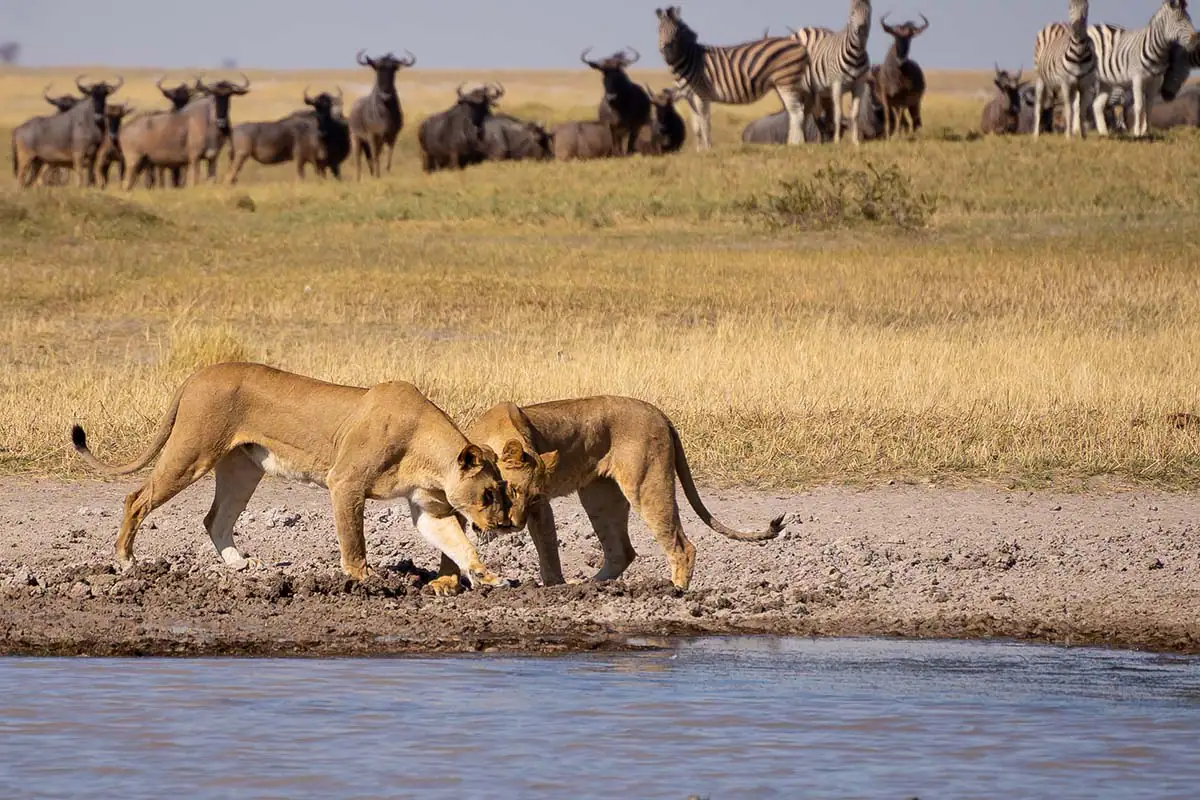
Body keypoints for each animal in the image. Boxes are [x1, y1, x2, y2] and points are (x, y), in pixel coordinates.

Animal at [70, 362, 516, 593]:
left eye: (504, 491)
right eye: (489, 494)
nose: (505, 524)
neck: (428, 456)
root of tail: (197, 374)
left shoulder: (430, 508)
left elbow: (458, 543)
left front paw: (487, 575)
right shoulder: (345, 482)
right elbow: (354, 539)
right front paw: (364, 579)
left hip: (241, 469)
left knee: (215, 518)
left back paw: (239, 564)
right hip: (191, 453)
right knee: (137, 498)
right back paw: (126, 560)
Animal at [436, 396, 785, 591]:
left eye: (532, 498)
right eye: (508, 492)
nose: (512, 526)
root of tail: (659, 412)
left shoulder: (542, 508)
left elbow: (548, 548)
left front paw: (552, 589)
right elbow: (449, 541)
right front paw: (445, 584)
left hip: (647, 484)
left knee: (682, 546)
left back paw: (675, 592)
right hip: (600, 497)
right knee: (621, 551)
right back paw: (591, 587)